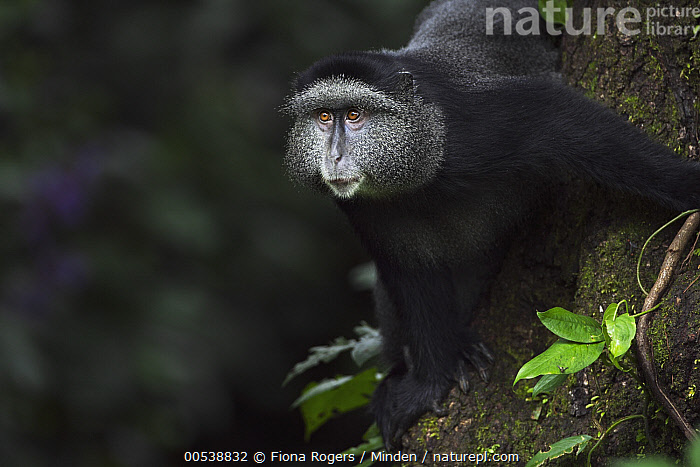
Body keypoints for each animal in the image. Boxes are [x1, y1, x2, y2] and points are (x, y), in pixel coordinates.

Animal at [282, 0, 700, 450]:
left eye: (355, 115)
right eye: (324, 117)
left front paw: (689, 186)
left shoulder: (474, 129)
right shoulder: (364, 211)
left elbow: (557, 113)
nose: (335, 156)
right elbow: (410, 275)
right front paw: (427, 384)